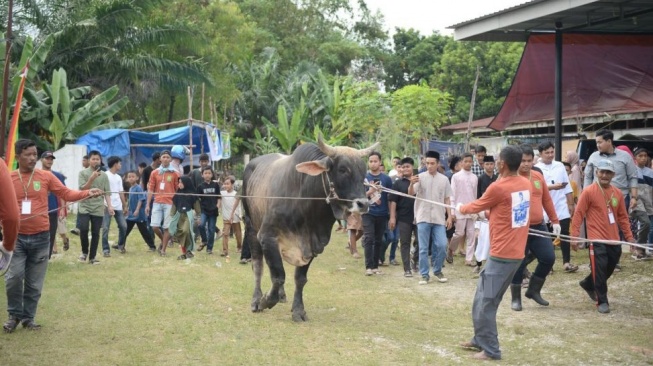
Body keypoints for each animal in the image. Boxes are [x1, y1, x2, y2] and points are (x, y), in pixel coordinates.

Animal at [241, 136, 376, 322]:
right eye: (342, 169)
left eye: (363, 171)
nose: (363, 204)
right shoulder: (267, 237)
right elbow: (278, 276)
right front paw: (265, 301)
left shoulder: (314, 245)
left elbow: (299, 278)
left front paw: (298, 310)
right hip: (251, 227)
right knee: (258, 266)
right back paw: (256, 299)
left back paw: (281, 295)